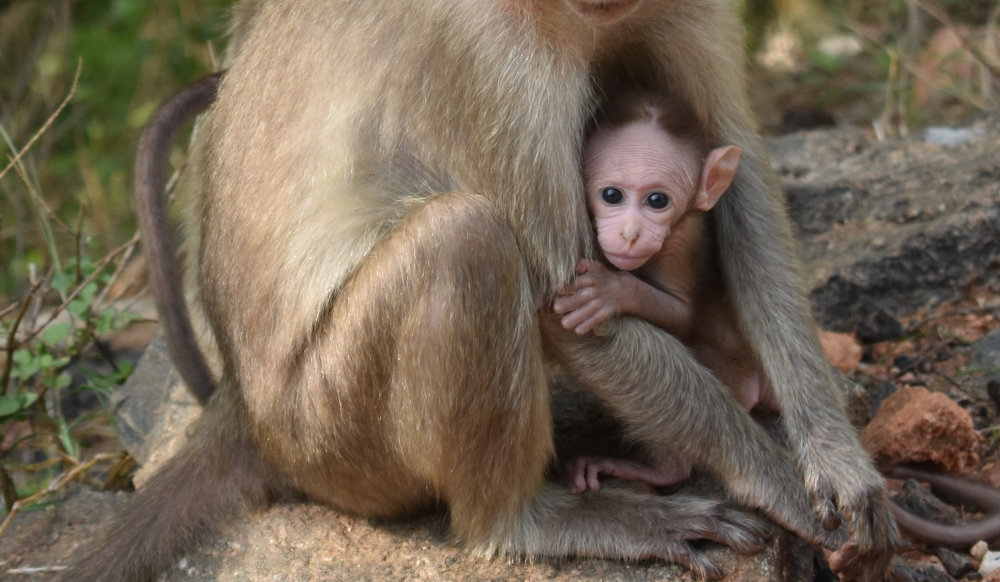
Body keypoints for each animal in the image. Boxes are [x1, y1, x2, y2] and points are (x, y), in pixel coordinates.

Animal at [67, 1, 903, 581]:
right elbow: (563, 304)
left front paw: (835, 462)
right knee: (466, 241)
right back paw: (524, 524)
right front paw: (779, 486)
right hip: (332, 432)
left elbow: (741, 178)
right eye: (615, 195)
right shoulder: (489, 51)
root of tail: (246, 410)